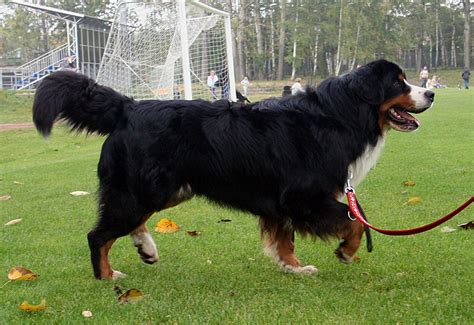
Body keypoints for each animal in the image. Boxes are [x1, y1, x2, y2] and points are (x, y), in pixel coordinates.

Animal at [33, 59, 434, 278]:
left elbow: (285, 237)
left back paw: (145, 248)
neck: (339, 115)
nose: (430, 93)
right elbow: (354, 222)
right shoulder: (304, 196)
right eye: (398, 81)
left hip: (168, 188)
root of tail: (128, 107)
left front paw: (292, 266)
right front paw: (346, 252)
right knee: (98, 235)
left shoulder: (282, 202)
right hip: (142, 189)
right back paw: (106, 275)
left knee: (129, 222)